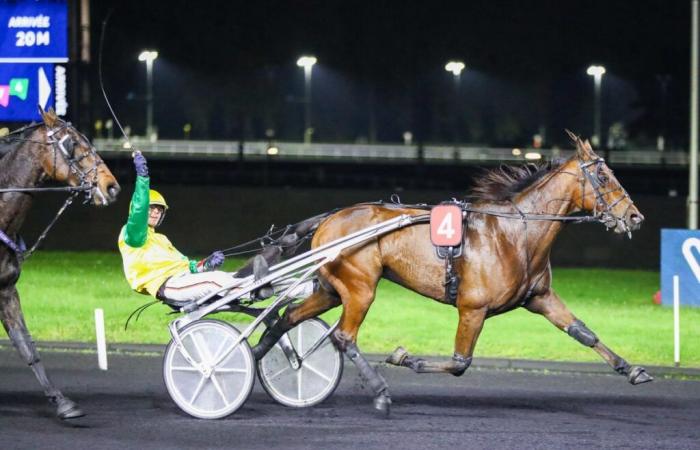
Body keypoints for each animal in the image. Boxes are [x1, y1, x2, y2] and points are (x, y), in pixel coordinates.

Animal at [254, 133, 652, 414]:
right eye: (603, 175)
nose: (635, 217)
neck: (515, 234)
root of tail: (330, 217)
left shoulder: (540, 298)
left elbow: (583, 333)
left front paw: (632, 370)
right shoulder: (472, 308)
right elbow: (460, 363)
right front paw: (404, 357)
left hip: (331, 289)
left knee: (286, 318)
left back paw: (257, 358)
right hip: (360, 287)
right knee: (344, 337)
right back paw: (380, 393)